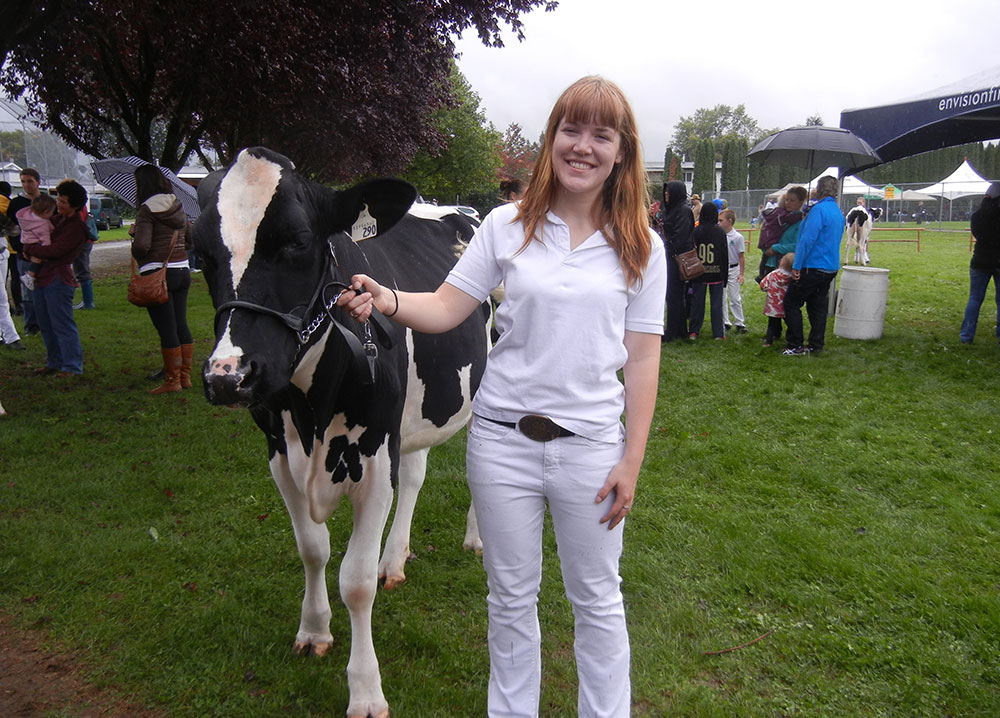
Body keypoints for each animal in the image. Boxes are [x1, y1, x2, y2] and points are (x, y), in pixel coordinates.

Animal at [191, 148, 488, 718]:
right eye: (199, 255)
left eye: (298, 241)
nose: (228, 377)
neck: (310, 410)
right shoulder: (279, 455)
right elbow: (312, 549)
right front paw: (313, 631)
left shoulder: (372, 459)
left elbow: (354, 581)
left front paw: (366, 690)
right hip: (411, 417)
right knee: (414, 475)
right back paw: (395, 559)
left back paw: (475, 537)